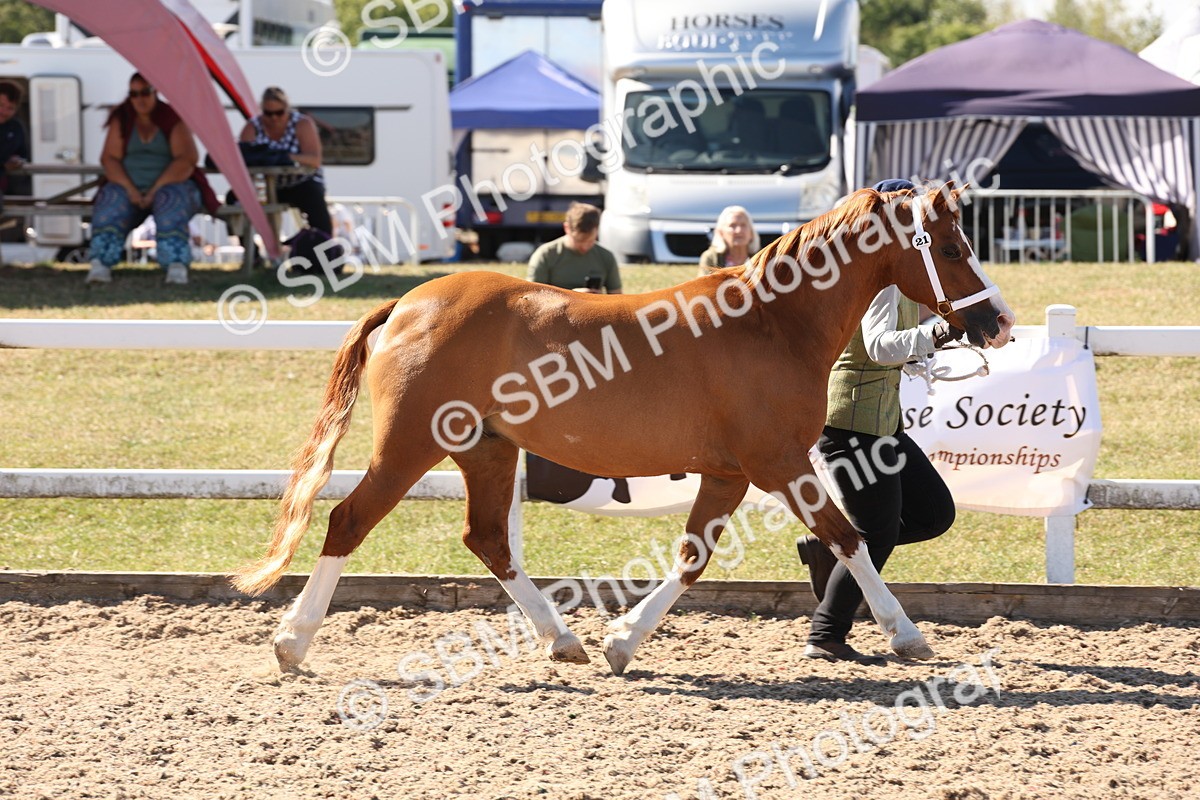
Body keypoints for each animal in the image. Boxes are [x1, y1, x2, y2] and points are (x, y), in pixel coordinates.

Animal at [233, 182, 1015, 676]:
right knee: (348, 521)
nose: (999, 323)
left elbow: (694, 558)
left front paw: (621, 643)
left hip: (487, 452)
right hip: (410, 446)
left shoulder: (728, 474)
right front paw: (908, 635)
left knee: (488, 540)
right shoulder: (779, 463)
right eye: (951, 248)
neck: (772, 321)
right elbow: (848, 536)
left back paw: (565, 642)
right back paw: (292, 643)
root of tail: (408, 302)